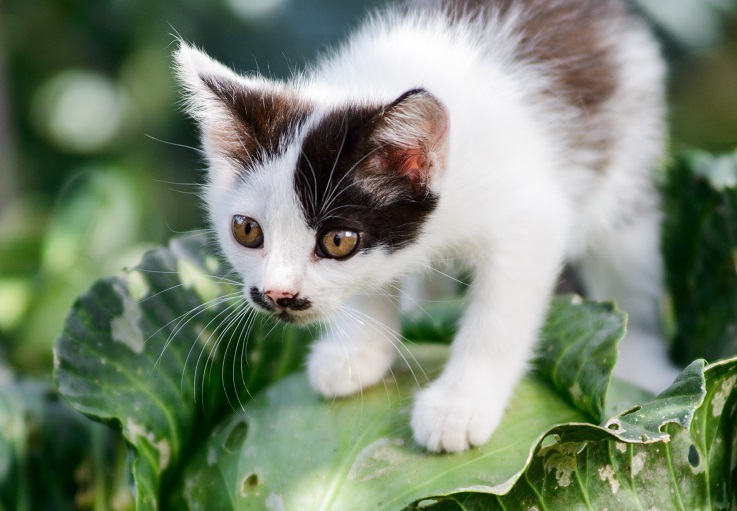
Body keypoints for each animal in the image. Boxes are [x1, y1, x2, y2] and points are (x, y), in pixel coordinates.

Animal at [175, 0, 680, 454]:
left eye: (338, 241)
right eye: (246, 231)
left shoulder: (531, 217)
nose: (278, 294)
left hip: (627, 159)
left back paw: (641, 363)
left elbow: (500, 313)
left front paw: (460, 404)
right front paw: (359, 350)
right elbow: (374, 279)